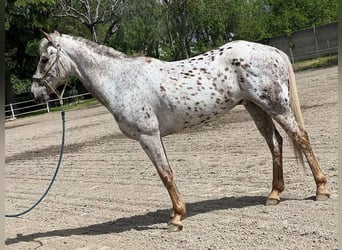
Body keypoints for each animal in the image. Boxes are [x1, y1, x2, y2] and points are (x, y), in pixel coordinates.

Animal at [31, 30, 328, 231]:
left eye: (44, 59)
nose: (35, 93)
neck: (122, 80)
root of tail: (271, 51)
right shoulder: (153, 137)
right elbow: (168, 173)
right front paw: (178, 213)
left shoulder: (148, 136)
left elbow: (165, 174)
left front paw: (175, 218)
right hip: (256, 108)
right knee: (275, 143)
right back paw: (274, 195)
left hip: (276, 106)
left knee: (300, 137)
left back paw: (321, 190)